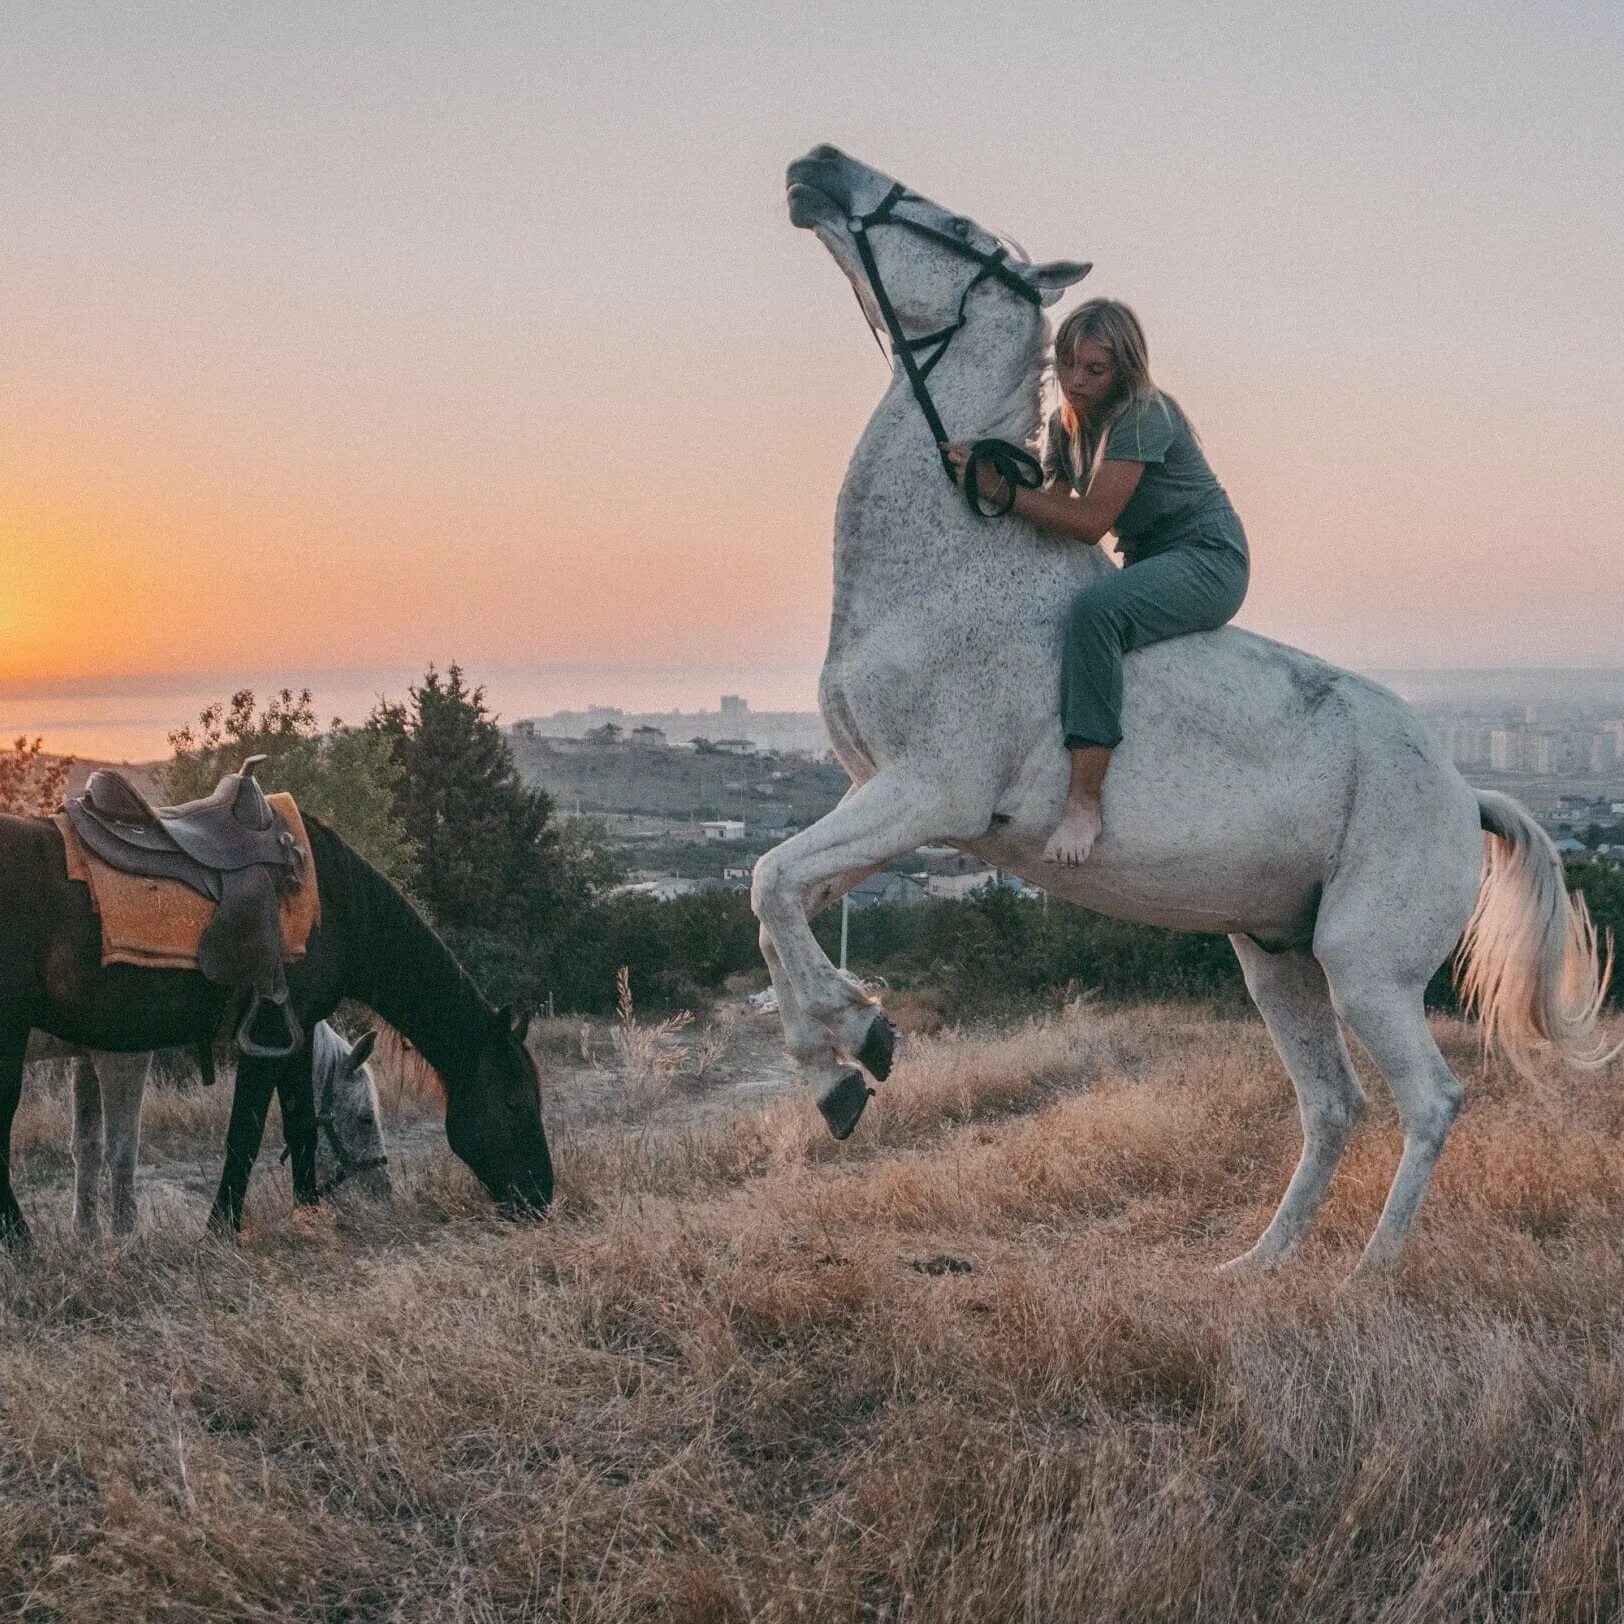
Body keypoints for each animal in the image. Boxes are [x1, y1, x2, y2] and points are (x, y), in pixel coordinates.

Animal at [76, 1019, 393, 1234]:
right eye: (366, 1118)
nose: (382, 1195)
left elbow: (87, 1148)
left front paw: (88, 1240)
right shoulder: (120, 1056)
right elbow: (120, 1153)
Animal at [756, 146, 1611, 1273]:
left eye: (960, 226)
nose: (816, 166)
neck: (951, 559)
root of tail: (1466, 792)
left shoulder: (929, 794)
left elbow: (770, 881)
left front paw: (857, 1046)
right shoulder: (888, 806)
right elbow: (782, 900)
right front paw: (840, 1060)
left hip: (1364, 967)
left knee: (1429, 1100)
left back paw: (1365, 1275)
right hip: (1277, 962)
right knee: (1332, 1104)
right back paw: (1256, 1268)